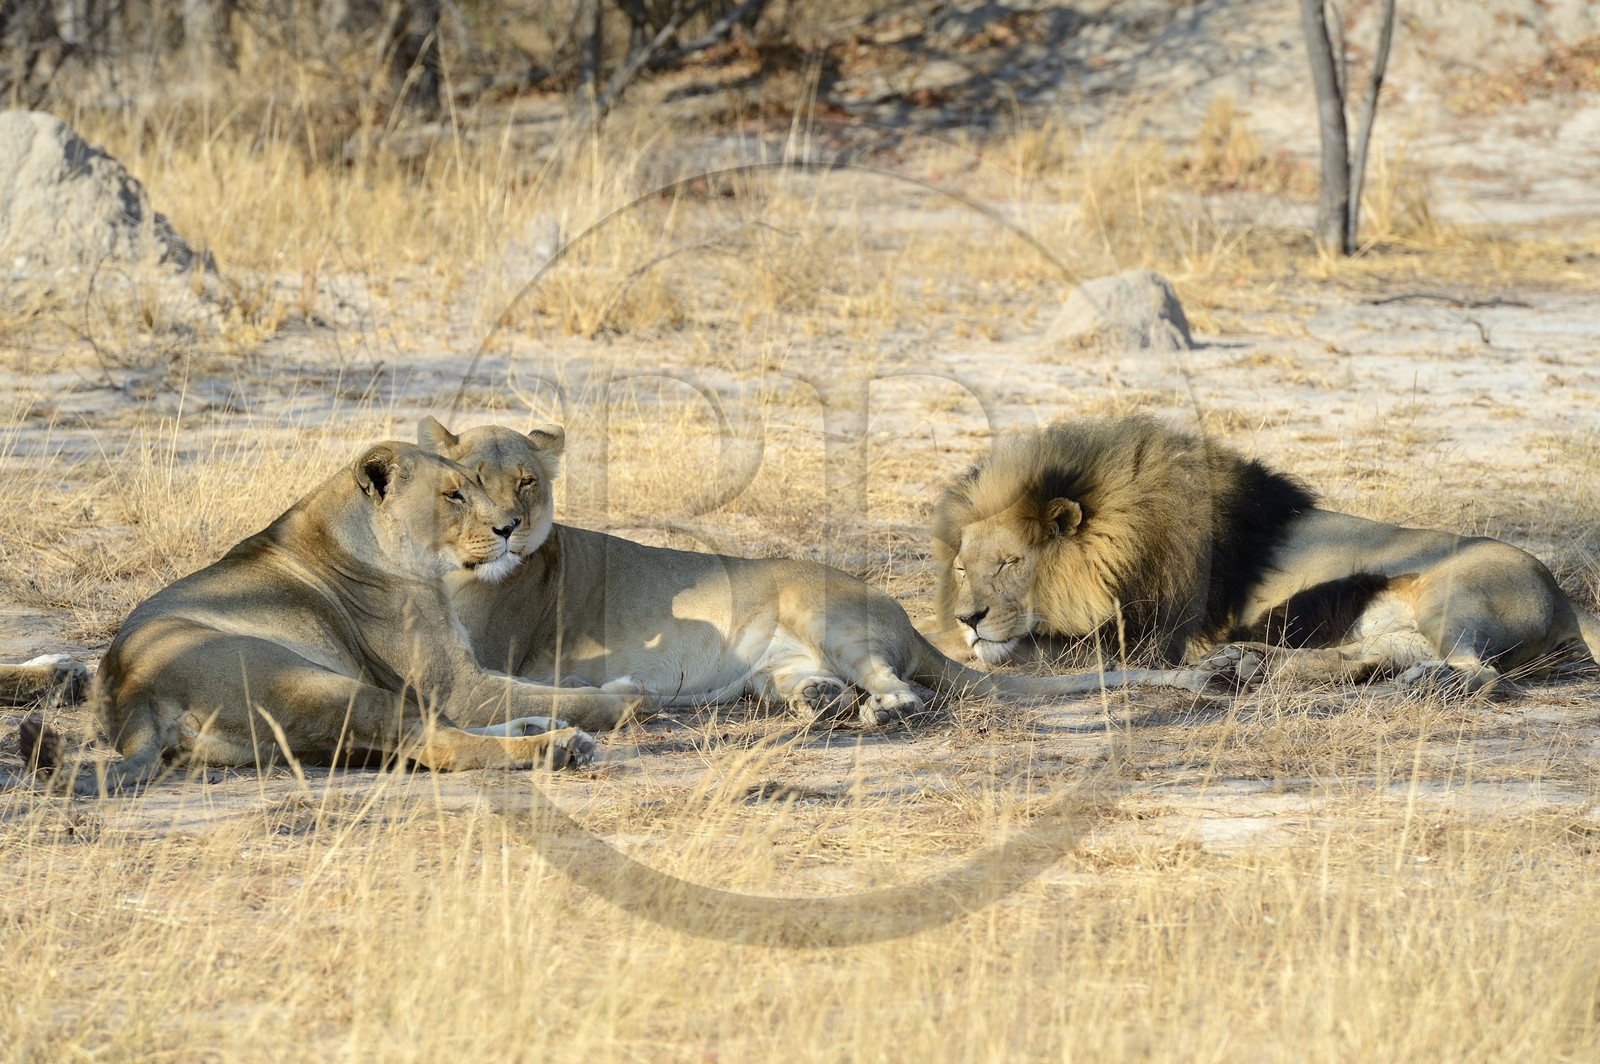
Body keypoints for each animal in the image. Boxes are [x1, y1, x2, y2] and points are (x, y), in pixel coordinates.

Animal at [25, 442, 638, 797]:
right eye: (453, 495)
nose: (510, 526)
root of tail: (131, 698)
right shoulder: (460, 687)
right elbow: (564, 695)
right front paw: (624, 695)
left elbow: (540, 686)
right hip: (319, 685)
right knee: (438, 744)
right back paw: (555, 747)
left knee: (420, 738)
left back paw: (542, 733)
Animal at [418, 417, 1230, 725]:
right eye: (471, 482)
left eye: (527, 481)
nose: (507, 528)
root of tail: (905, 618)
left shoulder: (492, 656)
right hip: (768, 670)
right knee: (817, 687)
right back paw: (819, 705)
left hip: (822, 612)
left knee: (904, 690)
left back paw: (875, 711)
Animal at [932, 416, 1600, 691]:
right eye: (963, 568)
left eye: (1011, 563)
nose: (970, 617)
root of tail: (1564, 599)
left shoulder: (1151, 640)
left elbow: (1028, 654)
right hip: (1397, 627)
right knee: (1361, 658)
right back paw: (1248, 664)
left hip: (1456, 600)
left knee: (1481, 675)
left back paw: (1421, 685)